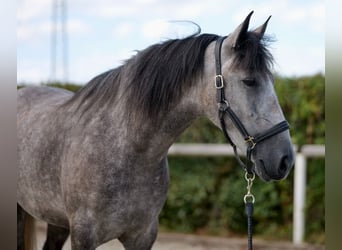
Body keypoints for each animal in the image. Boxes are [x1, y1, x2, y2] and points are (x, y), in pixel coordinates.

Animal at [17, 12, 294, 250]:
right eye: (249, 81)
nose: (285, 160)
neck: (123, 147)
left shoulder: (142, 235)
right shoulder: (84, 236)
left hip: (56, 221)